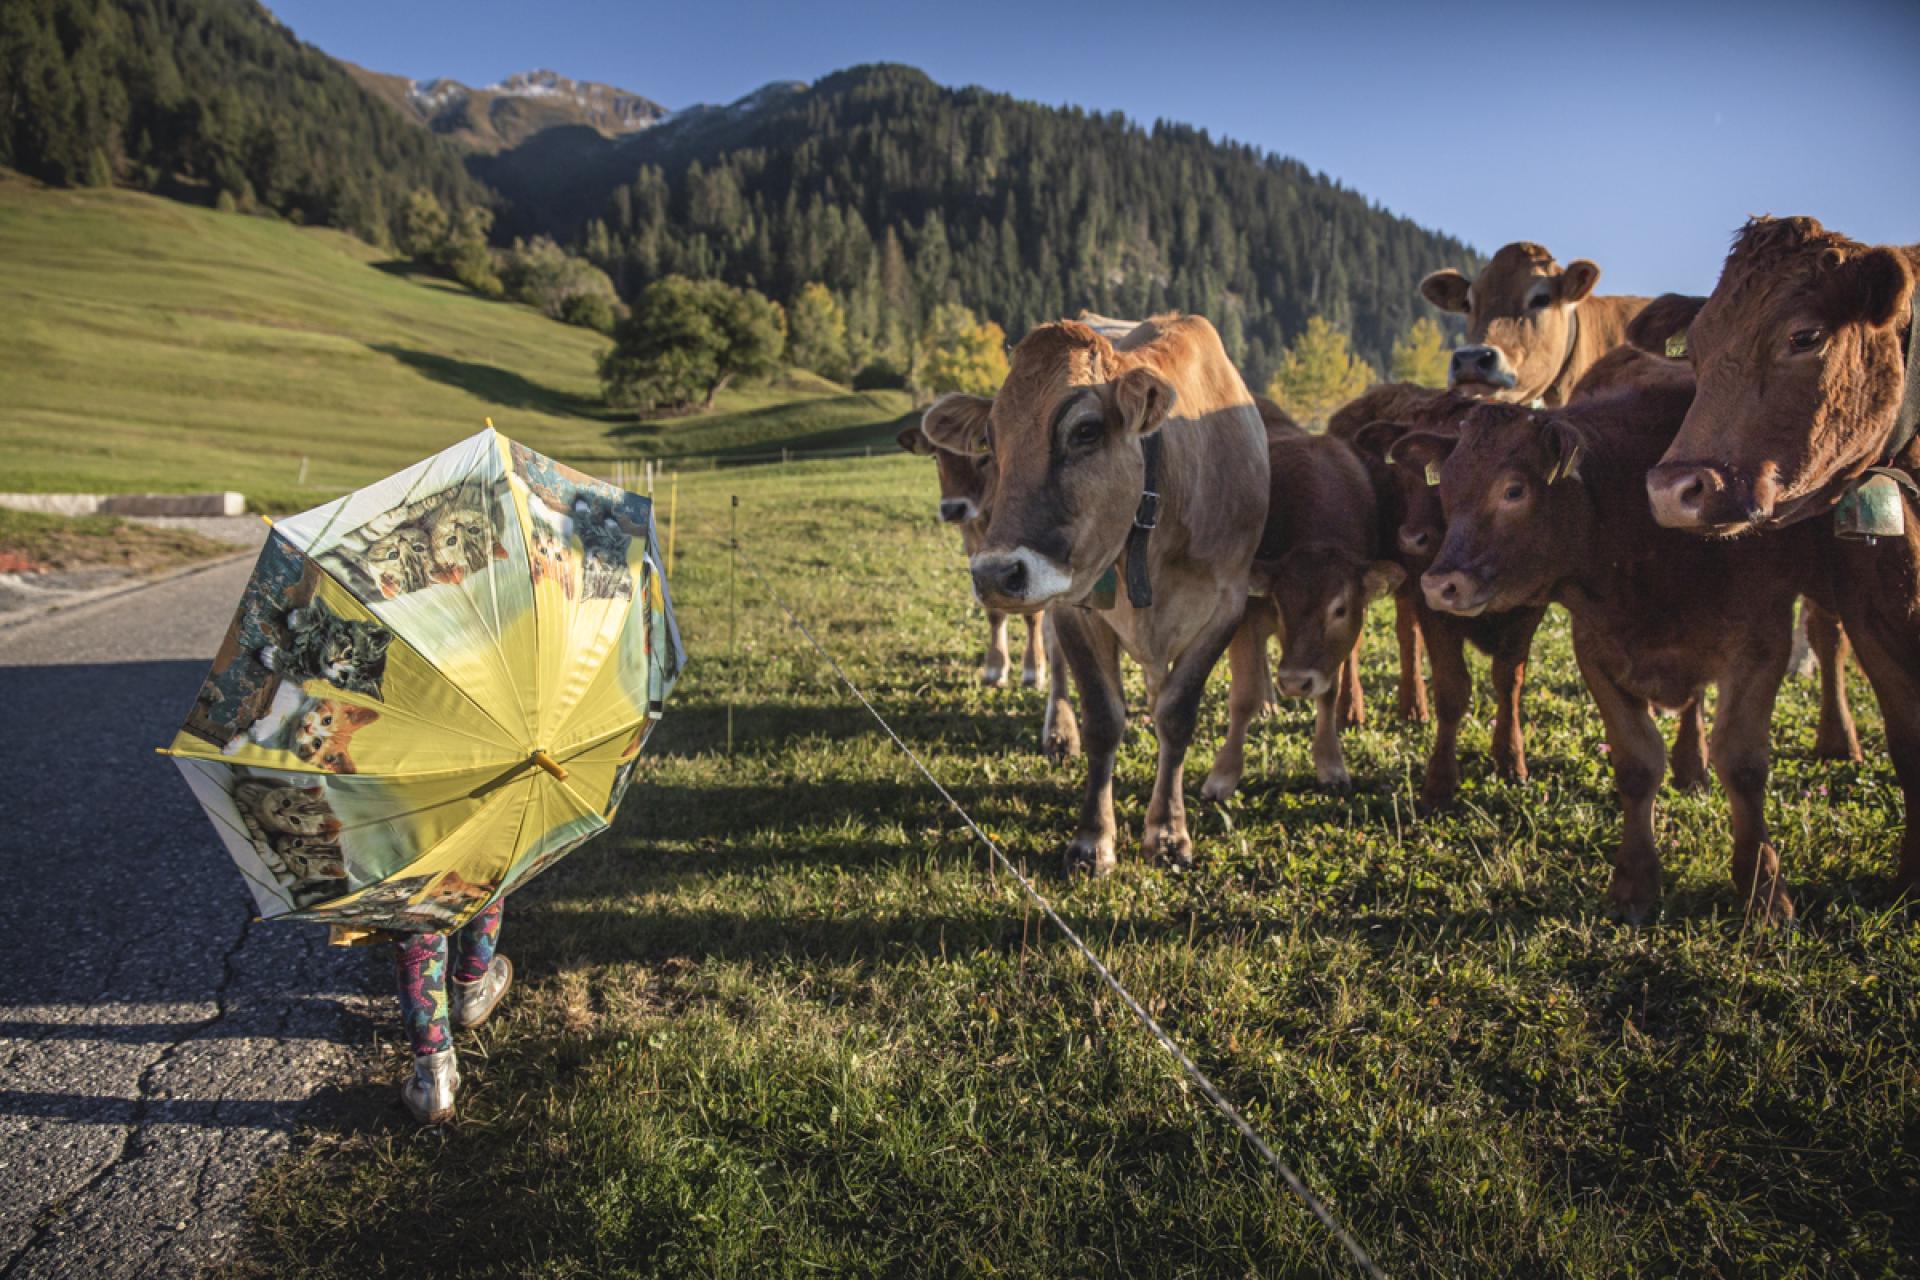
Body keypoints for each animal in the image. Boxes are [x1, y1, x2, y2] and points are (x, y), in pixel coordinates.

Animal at [898, 412, 1052, 690]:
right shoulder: (975, 550)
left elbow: (1032, 613)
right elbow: (993, 612)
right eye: (936, 456)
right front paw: (995, 667)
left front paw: (1034, 669)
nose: (952, 509)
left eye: (983, 451)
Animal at [917, 316, 1267, 875]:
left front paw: (1168, 832)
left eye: (1085, 430)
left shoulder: (1227, 605)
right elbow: (1103, 718)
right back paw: (1060, 734)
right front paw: (1092, 840)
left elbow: (1177, 715)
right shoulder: (1075, 607)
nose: (996, 574)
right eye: (990, 439)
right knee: (1058, 666)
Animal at [1413, 360, 1812, 921]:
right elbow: (1636, 764)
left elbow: (1744, 765)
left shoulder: (1763, 644)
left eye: (1514, 490)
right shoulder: (1596, 654)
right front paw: (1634, 883)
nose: (1440, 584)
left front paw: (1764, 888)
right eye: (1445, 490)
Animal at [1635, 214, 1920, 898]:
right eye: (1696, 349)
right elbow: (1909, 747)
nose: (1672, 491)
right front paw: (1910, 880)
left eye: (1805, 335)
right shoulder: (1879, 623)